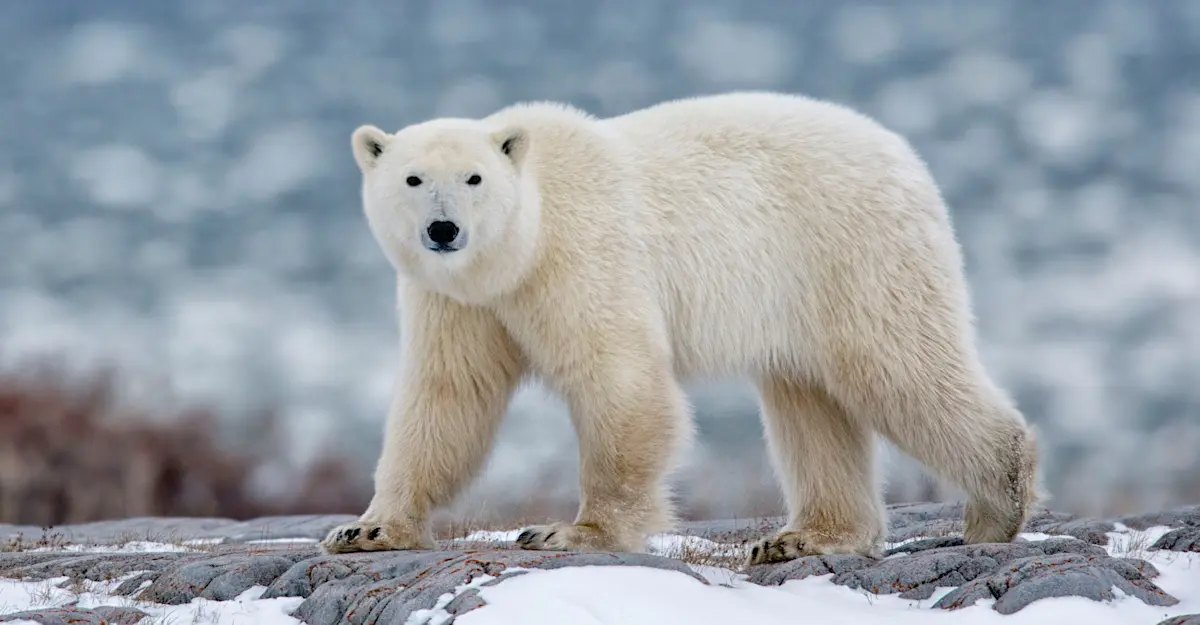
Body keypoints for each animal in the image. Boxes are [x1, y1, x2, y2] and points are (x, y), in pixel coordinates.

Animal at [320, 91, 1043, 566]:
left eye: (473, 177)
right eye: (413, 178)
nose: (444, 230)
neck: (521, 246)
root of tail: (905, 156)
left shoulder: (582, 256)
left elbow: (619, 380)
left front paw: (568, 532)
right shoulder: (458, 300)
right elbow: (447, 398)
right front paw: (367, 530)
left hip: (851, 251)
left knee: (897, 367)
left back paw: (997, 504)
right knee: (809, 402)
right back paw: (802, 537)